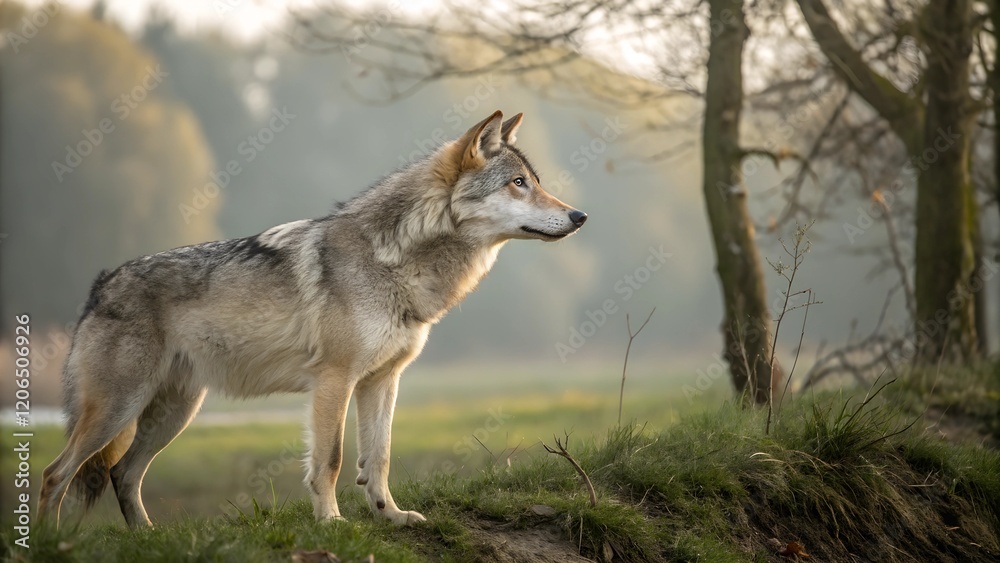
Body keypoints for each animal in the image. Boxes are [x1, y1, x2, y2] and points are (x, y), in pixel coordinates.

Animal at [37, 110, 587, 528]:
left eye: (536, 182)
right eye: (519, 184)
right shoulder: (334, 381)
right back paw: (50, 542)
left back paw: (147, 537)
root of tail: (102, 283)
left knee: (123, 475)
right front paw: (332, 522)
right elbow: (332, 459)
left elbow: (380, 457)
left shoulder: (382, 381)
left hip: (174, 413)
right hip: (119, 409)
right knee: (55, 475)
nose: (580, 216)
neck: (394, 260)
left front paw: (391, 516)